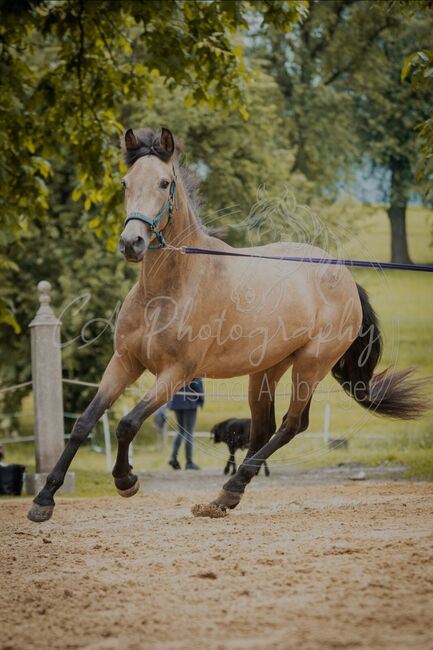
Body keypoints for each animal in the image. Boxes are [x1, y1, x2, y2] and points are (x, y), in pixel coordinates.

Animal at [27, 126, 428, 520]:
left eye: (163, 183)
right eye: (125, 182)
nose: (132, 243)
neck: (168, 290)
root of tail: (343, 275)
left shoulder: (177, 374)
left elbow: (128, 423)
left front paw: (126, 481)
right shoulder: (125, 362)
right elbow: (83, 423)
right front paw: (44, 499)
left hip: (310, 366)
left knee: (291, 425)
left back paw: (229, 489)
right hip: (267, 369)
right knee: (264, 428)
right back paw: (226, 497)